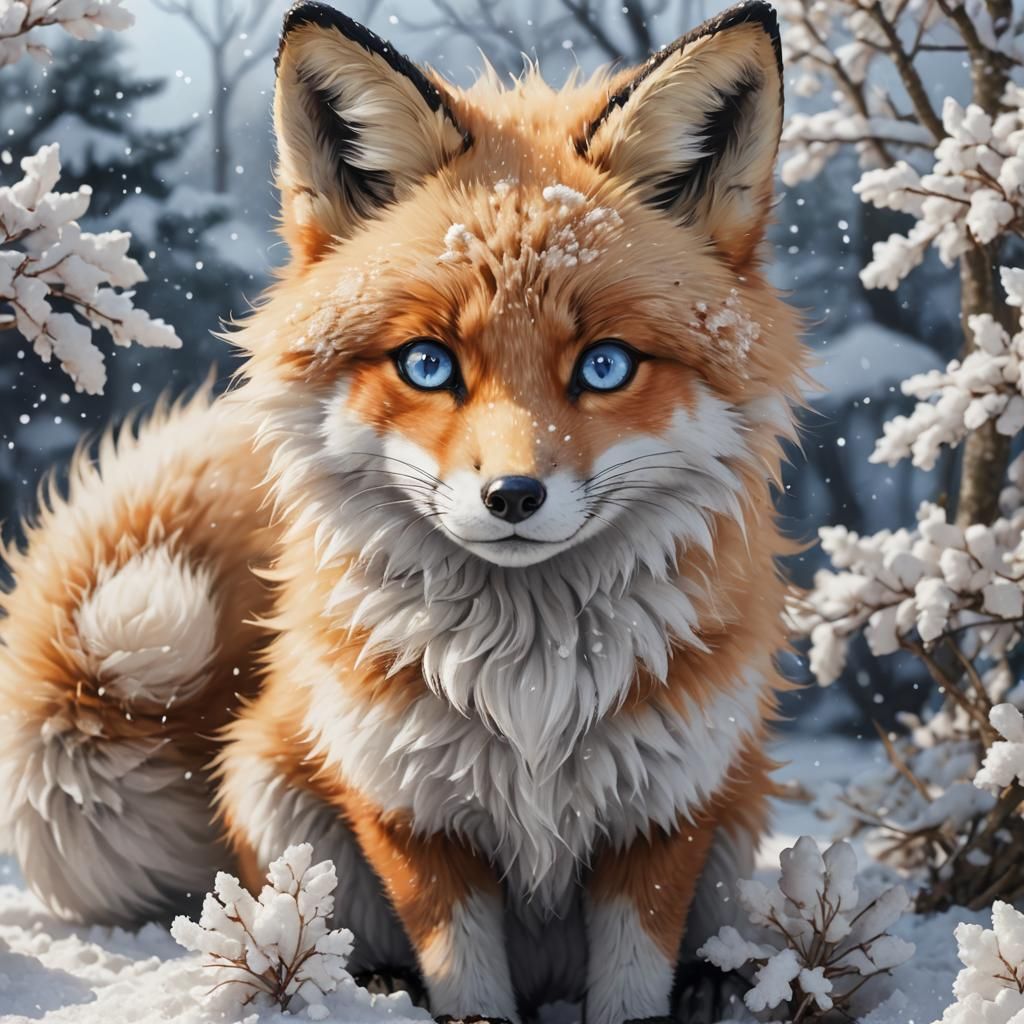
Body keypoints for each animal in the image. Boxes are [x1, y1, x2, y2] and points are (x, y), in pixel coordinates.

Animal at [0, 2, 806, 1022]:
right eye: (428, 364)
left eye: (605, 365)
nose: (513, 496)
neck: (528, 692)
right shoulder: (406, 805)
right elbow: (461, 971)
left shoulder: (666, 811)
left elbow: (632, 984)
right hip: (279, 792)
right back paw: (369, 984)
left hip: (735, 830)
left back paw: (718, 980)